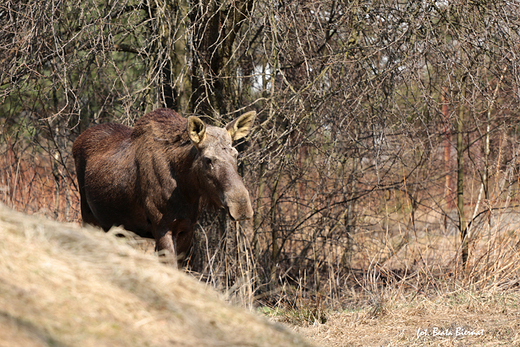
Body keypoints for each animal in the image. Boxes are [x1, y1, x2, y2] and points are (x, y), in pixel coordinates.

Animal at [72, 109, 256, 266]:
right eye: (208, 159)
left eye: (236, 154)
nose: (241, 205)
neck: (187, 189)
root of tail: (77, 140)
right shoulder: (162, 228)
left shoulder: (187, 229)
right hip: (88, 216)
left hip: (118, 228)